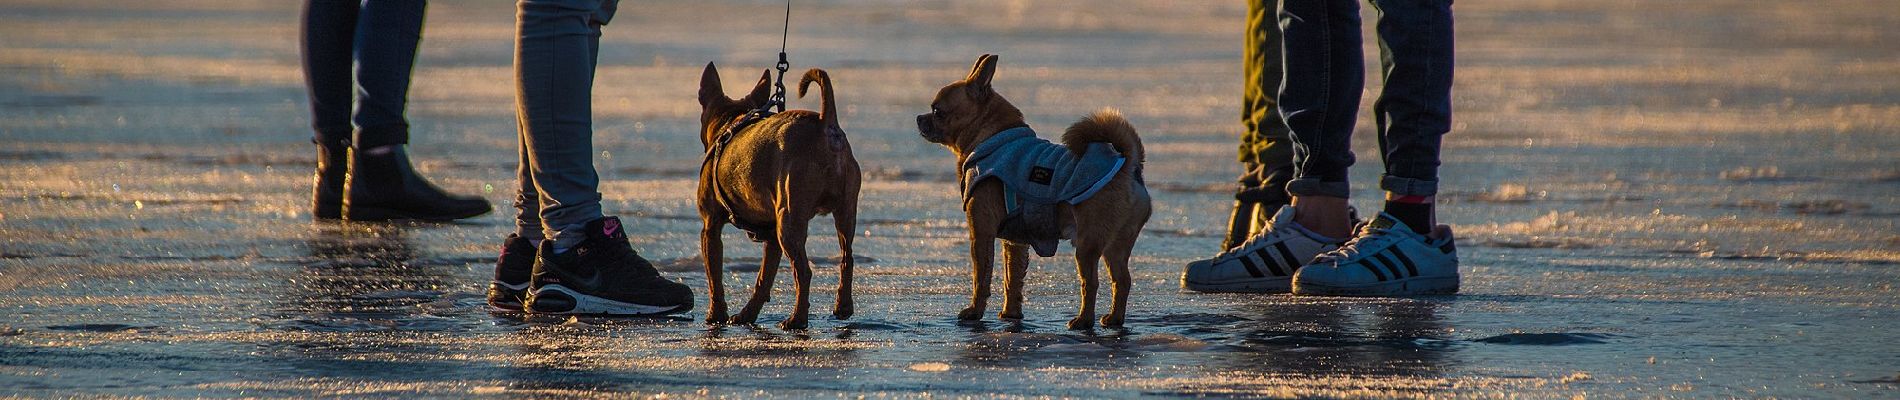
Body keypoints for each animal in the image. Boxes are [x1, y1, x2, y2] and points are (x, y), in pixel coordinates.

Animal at [699, 63, 862, 329]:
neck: (731, 122)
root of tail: (825, 125)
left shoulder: (710, 227)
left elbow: (715, 277)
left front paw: (716, 316)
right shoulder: (771, 234)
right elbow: (764, 278)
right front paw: (747, 315)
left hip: (789, 220)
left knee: (804, 271)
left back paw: (797, 319)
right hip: (845, 212)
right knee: (847, 257)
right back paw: (843, 307)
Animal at [912, 53, 1147, 327]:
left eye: (937, 111)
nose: (919, 118)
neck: (988, 138)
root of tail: (1128, 166)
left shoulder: (981, 231)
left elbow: (981, 277)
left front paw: (974, 312)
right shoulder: (1014, 242)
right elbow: (1012, 279)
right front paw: (1011, 314)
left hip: (1088, 244)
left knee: (1091, 282)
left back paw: (1082, 320)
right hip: (1116, 245)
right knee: (1122, 280)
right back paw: (1114, 319)